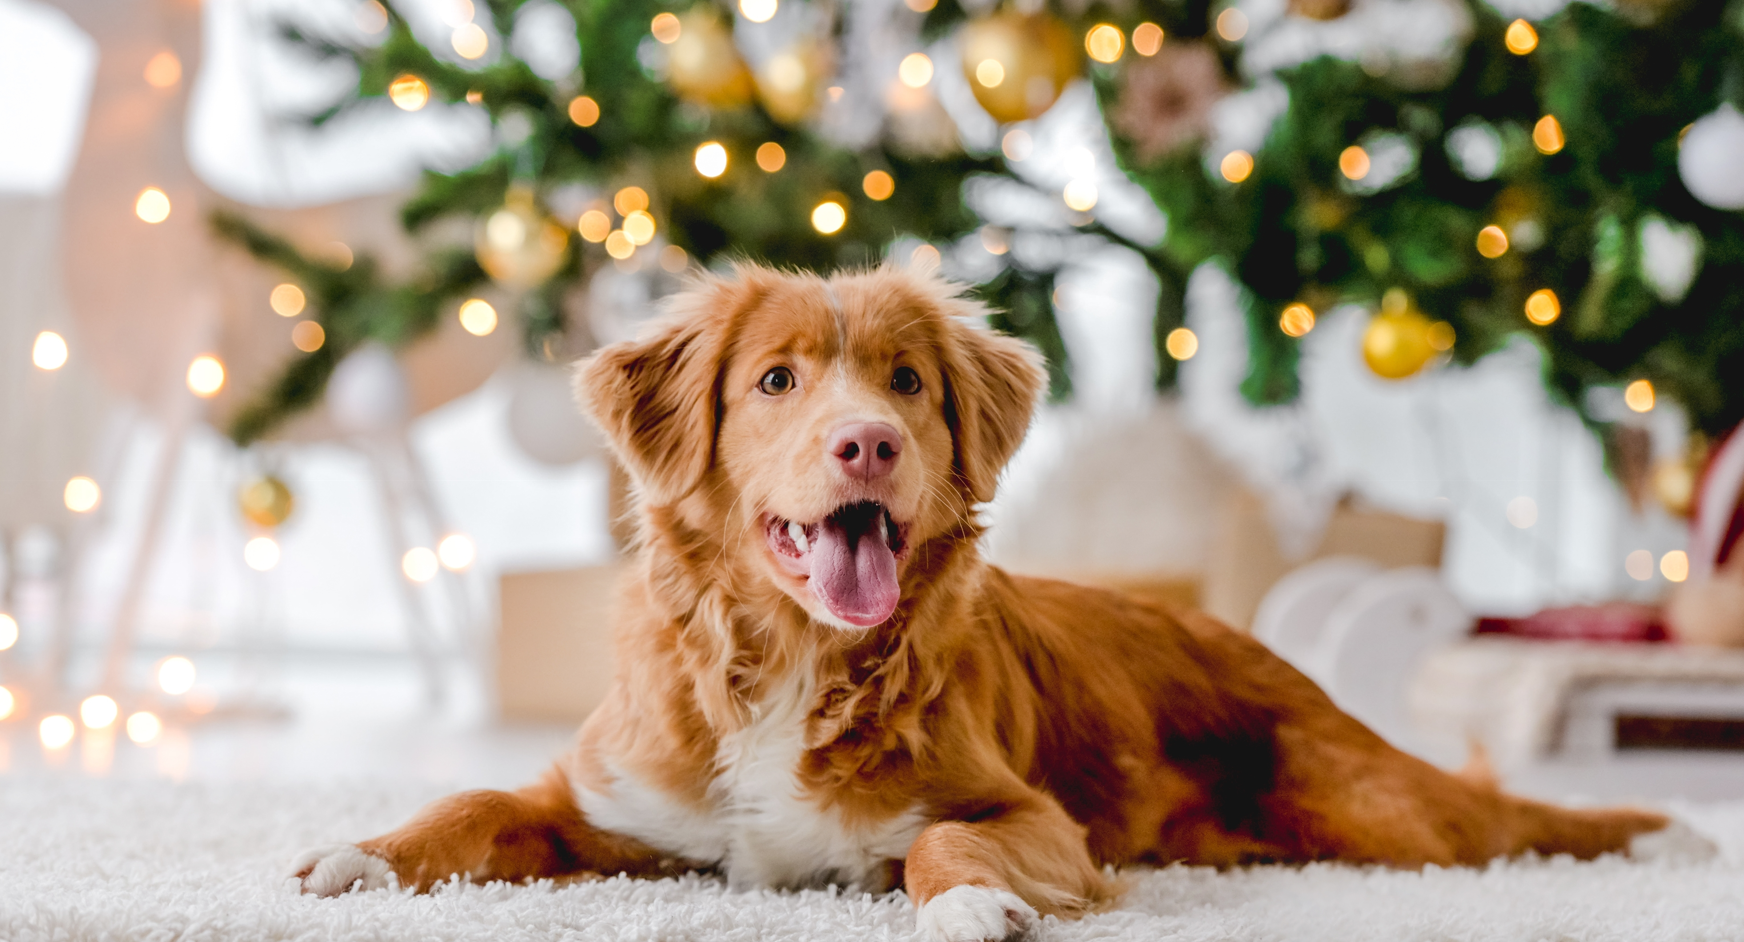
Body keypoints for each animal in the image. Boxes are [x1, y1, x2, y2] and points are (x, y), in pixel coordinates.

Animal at [296, 265, 1674, 942]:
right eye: (777, 381)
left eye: (905, 381)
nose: (866, 444)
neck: (791, 660)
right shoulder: (605, 809)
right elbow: (476, 800)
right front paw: (363, 855)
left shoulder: (1031, 814)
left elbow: (943, 841)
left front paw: (963, 903)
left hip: (1384, 813)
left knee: (1505, 819)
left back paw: (1667, 836)